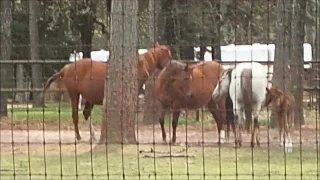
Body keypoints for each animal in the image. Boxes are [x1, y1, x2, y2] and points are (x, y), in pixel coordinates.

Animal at [42, 42, 172, 142]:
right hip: (75, 95)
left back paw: (93, 136)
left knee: (86, 113)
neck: (139, 66)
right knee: (75, 115)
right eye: (169, 55)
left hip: (88, 98)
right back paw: (79, 137)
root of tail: (66, 68)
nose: (171, 67)